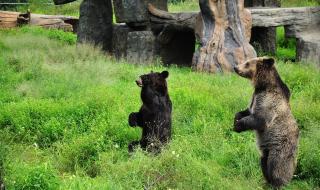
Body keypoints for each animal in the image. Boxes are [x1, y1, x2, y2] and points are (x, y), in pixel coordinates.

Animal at [232, 56, 300, 189]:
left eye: (247, 63)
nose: (236, 67)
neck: (262, 86)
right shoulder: (254, 98)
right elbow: (246, 111)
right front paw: (236, 119)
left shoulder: (268, 101)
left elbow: (260, 119)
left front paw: (238, 125)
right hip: (266, 150)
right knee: (263, 162)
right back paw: (266, 182)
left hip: (280, 147)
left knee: (276, 166)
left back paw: (278, 183)